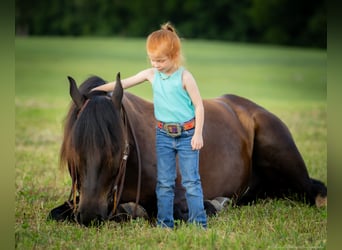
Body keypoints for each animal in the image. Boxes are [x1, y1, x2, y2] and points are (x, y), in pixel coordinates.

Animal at [47, 73, 326, 227]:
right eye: (73, 148)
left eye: (118, 149)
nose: (90, 215)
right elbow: (56, 213)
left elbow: (176, 210)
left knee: (314, 190)